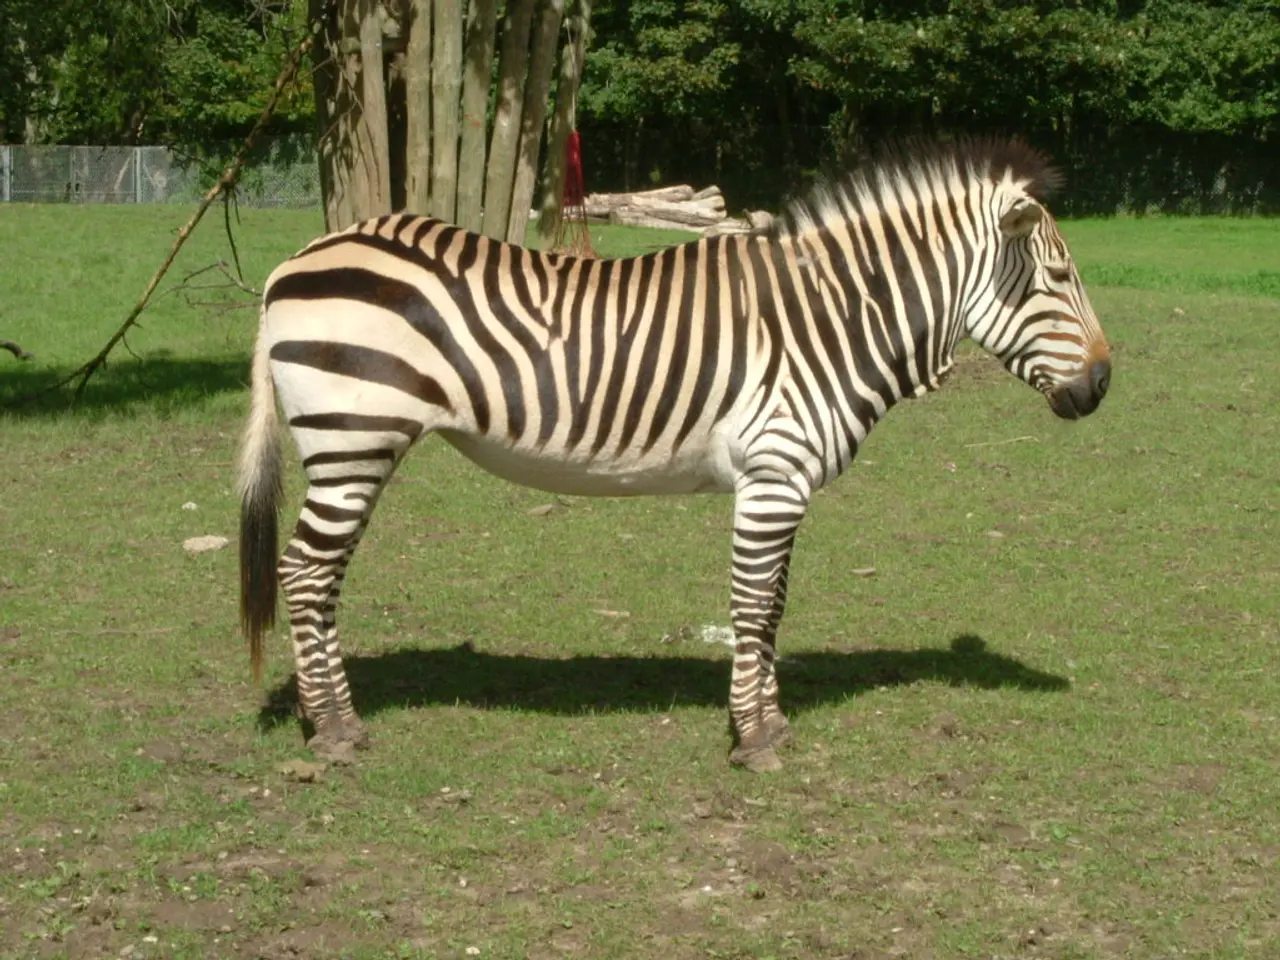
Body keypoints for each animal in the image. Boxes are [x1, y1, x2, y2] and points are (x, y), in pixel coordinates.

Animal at [238, 137, 1111, 771]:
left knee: (313, 575)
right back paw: (336, 731)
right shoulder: (773, 476)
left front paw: (769, 723)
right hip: (353, 439)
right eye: (1059, 275)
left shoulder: (780, 484)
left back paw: (325, 718)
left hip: (350, 444)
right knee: (306, 574)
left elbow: (772, 609)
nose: (1103, 384)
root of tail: (295, 259)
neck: (830, 317)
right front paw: (754, 741)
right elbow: (753, 607)